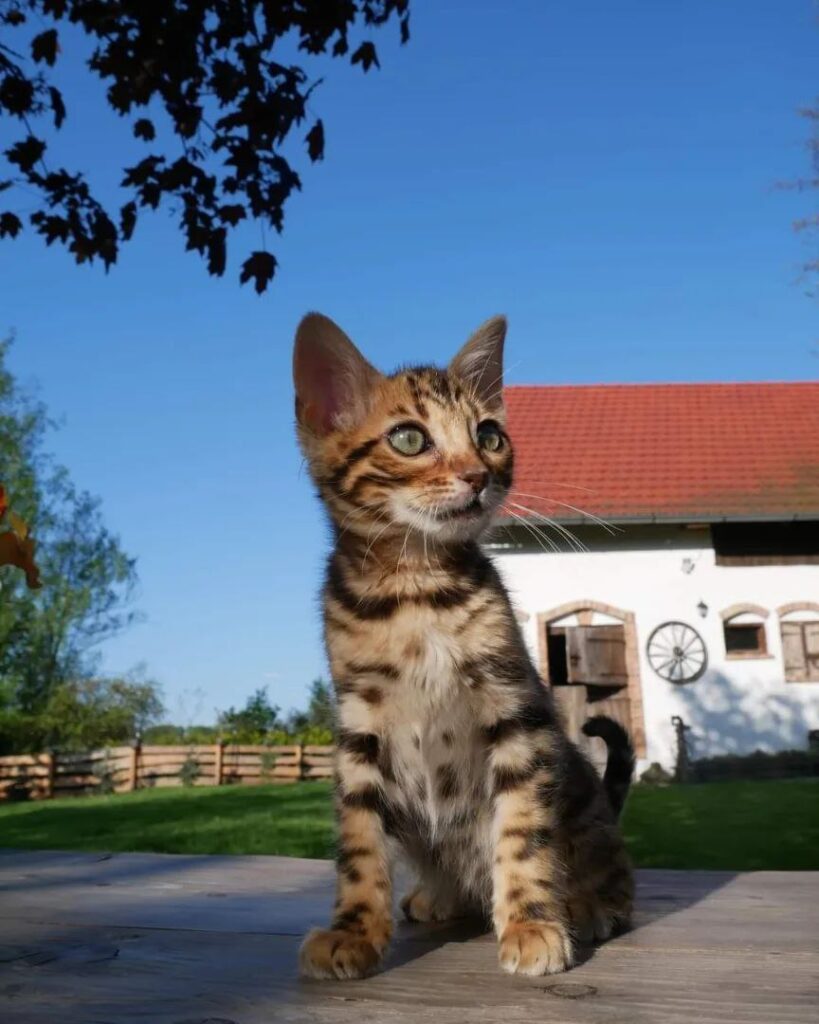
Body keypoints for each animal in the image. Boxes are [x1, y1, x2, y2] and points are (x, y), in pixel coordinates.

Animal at [294, 313, 634, 983]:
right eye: (408, 438)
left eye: (490, 435)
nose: (480, 475)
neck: (415, 594)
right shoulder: (357, 726)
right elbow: (358, 843)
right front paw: (354, 932)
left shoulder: (515, 708)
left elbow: (522, 833)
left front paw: (531, 924)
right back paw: (437, 896)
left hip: (584, 800)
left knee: (615, 870)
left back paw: (588, 905)